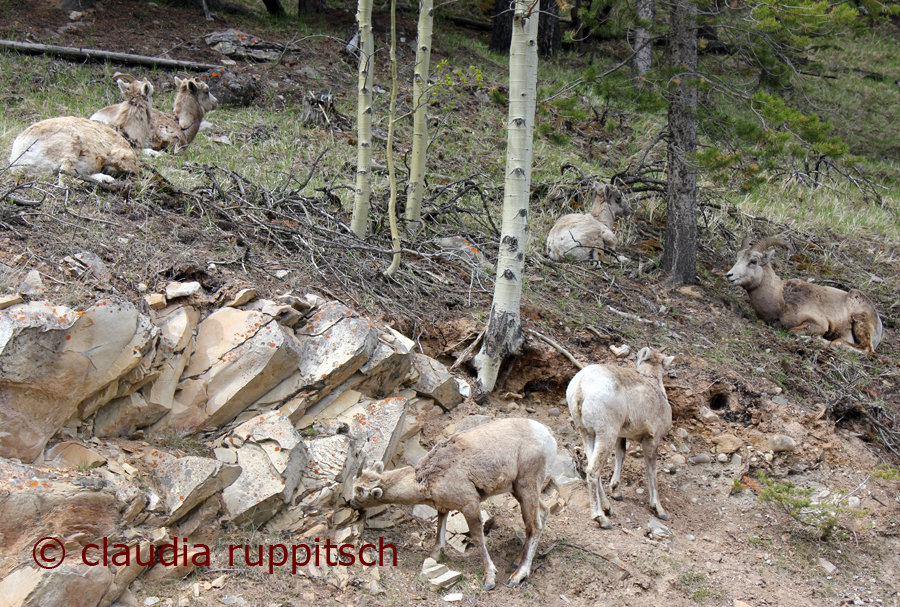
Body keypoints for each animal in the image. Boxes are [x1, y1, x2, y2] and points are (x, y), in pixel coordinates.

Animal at [350, 418, 556, 588]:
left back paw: (517, 576)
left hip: (526, 485)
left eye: (360, 494)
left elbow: (478, 538)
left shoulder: (469, 504)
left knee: (534, 526)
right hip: (518, 490)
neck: (426, 478)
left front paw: (489, 579)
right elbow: (439, 535)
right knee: (544, 513)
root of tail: (548, 436)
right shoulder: (444, 508)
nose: (351, 504)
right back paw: (516, 561)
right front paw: (433, 558)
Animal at [568, 350, 672, 528]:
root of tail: (580, 385)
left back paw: (608, 508)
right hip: (606, 434)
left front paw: (617, 492)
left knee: (591, 467)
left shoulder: (621, 436)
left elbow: (621, 454)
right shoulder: (652, 439)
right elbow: (651, 470)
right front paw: (659, 510)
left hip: (587, 433)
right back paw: (601, 518)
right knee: (592, 471)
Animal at [728, 235, 884, 354]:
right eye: (737, 258)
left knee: (863, 349)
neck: (781, 300)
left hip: (860, 324)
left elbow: (792, 331)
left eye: (753, 261)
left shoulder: (819, 323)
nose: (729, 275)